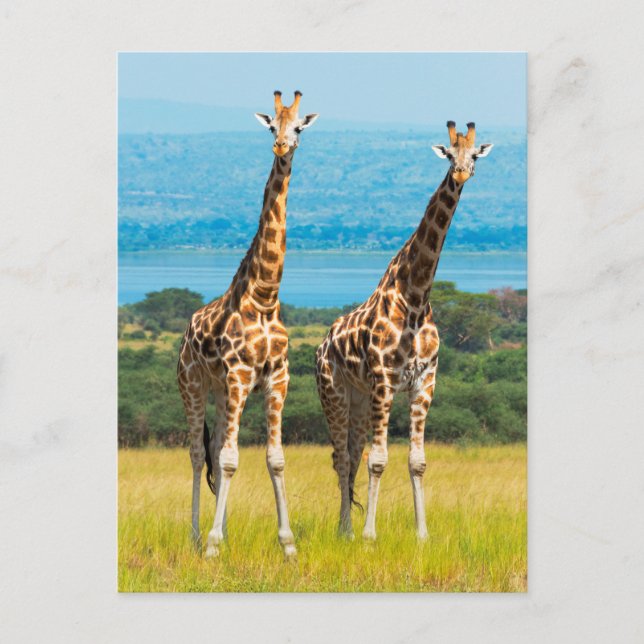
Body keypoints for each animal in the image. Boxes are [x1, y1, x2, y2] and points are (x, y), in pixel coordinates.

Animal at [177, 90, 319, 559]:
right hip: (194, 385)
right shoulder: (240, 375)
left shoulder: (277, 378)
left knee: (217, 446)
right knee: (198, 454)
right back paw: (198, 536)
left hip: (223, 394)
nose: (281, 147)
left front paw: (288, 546)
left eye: (298, 127)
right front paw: (213, 546)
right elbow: (228, 460)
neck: (265, 296)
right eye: (271, 125)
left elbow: (274, 458)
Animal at [315, 122, 493, 540]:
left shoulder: (424, 381)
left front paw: (422, 535)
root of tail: (320, 346)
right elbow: (379, 460)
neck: (415, 295)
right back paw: (346, 531)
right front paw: (369, 536)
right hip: (334, 392)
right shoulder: (384, 379)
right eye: (449, 153)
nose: (461, 173)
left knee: (351, 453)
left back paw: (347, 528)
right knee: (342, 457)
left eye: (475, 155)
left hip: (360, 400)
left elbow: (417, 461)